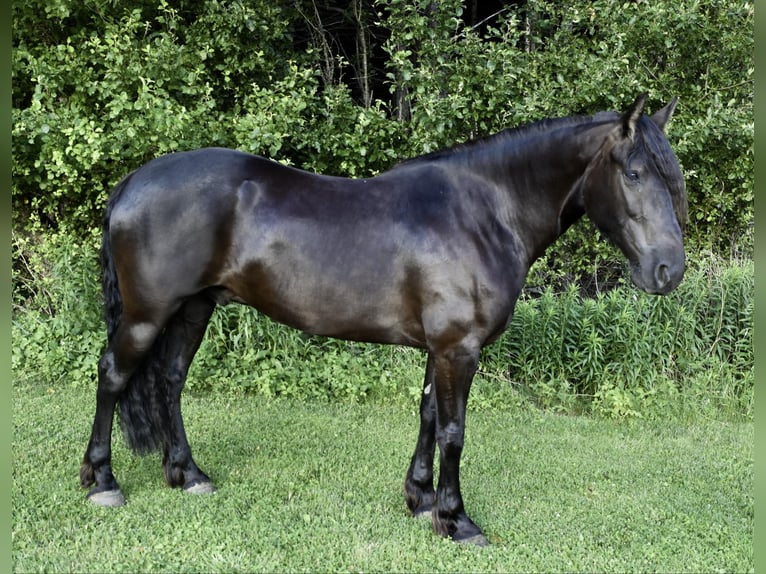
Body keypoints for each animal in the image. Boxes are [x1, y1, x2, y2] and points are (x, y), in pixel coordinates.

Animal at [80, 94, 687, 546]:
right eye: (635, 173)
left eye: (671, 177)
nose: (668, 269)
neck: (482, 212)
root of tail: (134, 181)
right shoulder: (459, 349)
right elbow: (454, 432)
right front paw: (456, 520)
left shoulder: (440, 348)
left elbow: (427, 418)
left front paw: (420, 500)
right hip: (147, 315)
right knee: (112, 376)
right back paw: (102, 481)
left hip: (194, 308)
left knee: (169, 381)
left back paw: (188, 475)